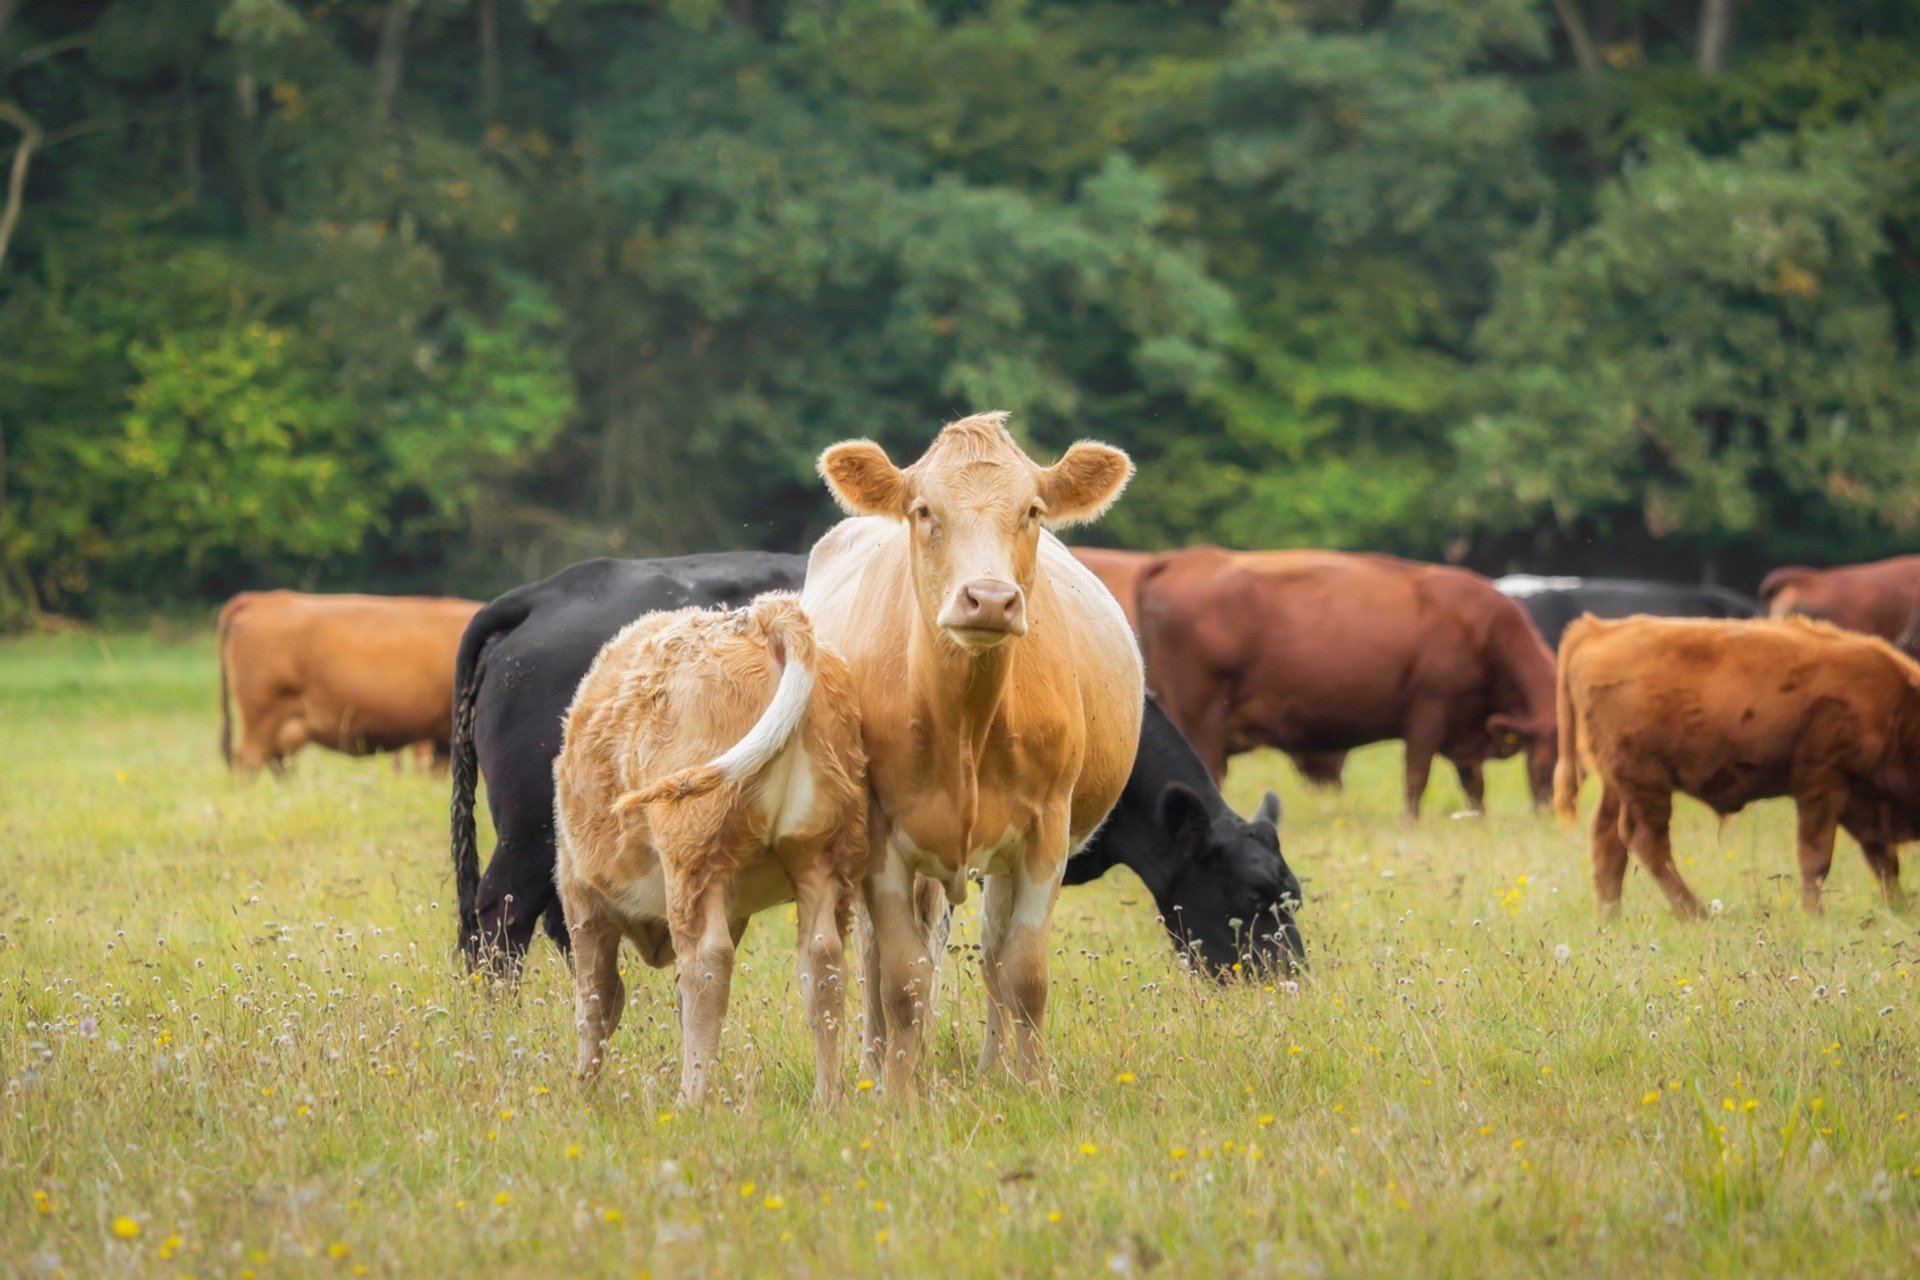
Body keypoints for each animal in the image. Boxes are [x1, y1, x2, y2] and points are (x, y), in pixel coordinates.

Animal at [450, 552, 1299, 979]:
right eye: (1253, 896)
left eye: (1292, 894)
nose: (1290, 985)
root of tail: (544, 592)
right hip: (529, 832)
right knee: (499, 923)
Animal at [554, 595, 866, 1105]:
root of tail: (764, 616)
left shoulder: (581, 896)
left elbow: (596, 1000)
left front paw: (583, 1090)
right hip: (823, 851)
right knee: (824, 962)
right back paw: (828, 1100)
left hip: (693, 849)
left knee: (706, 962)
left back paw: (691, 1099)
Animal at [803, 412, 1143, 1090]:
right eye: (924, 510)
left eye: (1033, 510)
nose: (988, 598)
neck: (962, 720)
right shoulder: (881, 835)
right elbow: (902, 979)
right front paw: (898, 1093)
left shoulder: (1046, 829)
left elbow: (1024, 973)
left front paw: (1035, 1087)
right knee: (875, 960)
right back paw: (876, 1061)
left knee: (992, 956)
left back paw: (991, 1067)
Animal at [1138, 548, 1557, 818]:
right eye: (1554, 756)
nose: (1552, 811)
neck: (1483, 631)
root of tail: (1182, 560)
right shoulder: (1428, 712)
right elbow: (1416, 778)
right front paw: (1410, 824)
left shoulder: (1464, 730)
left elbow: (1474, 787)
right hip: (1201, 718)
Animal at [1554, 615, 1915, 917]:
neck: (1898, 708)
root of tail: (1597, 630)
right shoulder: (1823, 781)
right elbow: (1817, 856)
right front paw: (1814, 914)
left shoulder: (1858, 799)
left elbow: (1883, 859)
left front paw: (1898, 907)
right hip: (1644, 781)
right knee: (1645, 840)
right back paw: (1695, 913)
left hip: (1617, 784)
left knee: (1607, 839)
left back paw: (1610, 917)